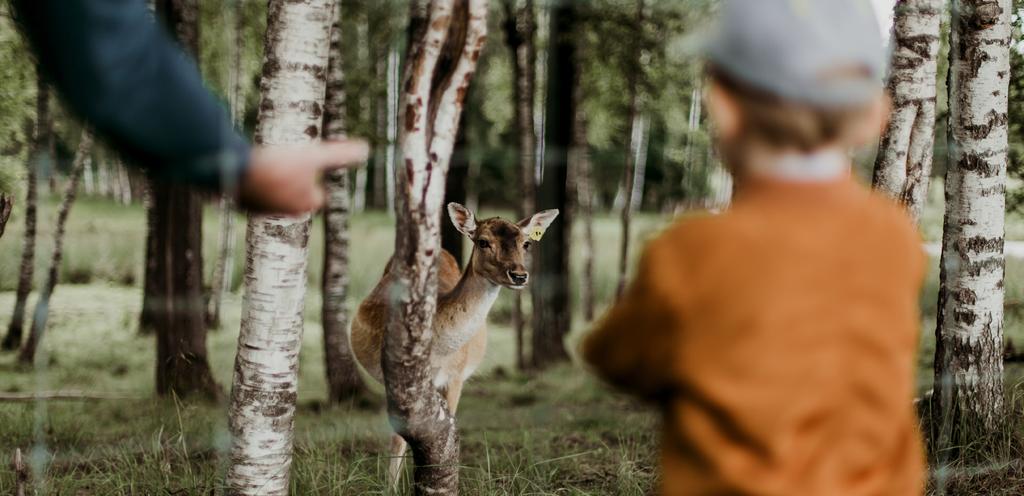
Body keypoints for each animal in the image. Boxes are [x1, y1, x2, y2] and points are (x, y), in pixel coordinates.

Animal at [350, 200, 561, 483]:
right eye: (483, 241)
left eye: (526, 243)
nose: (518, 275)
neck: (439, 351)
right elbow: (397, 440)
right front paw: (390, 485)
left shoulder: (456, 376)